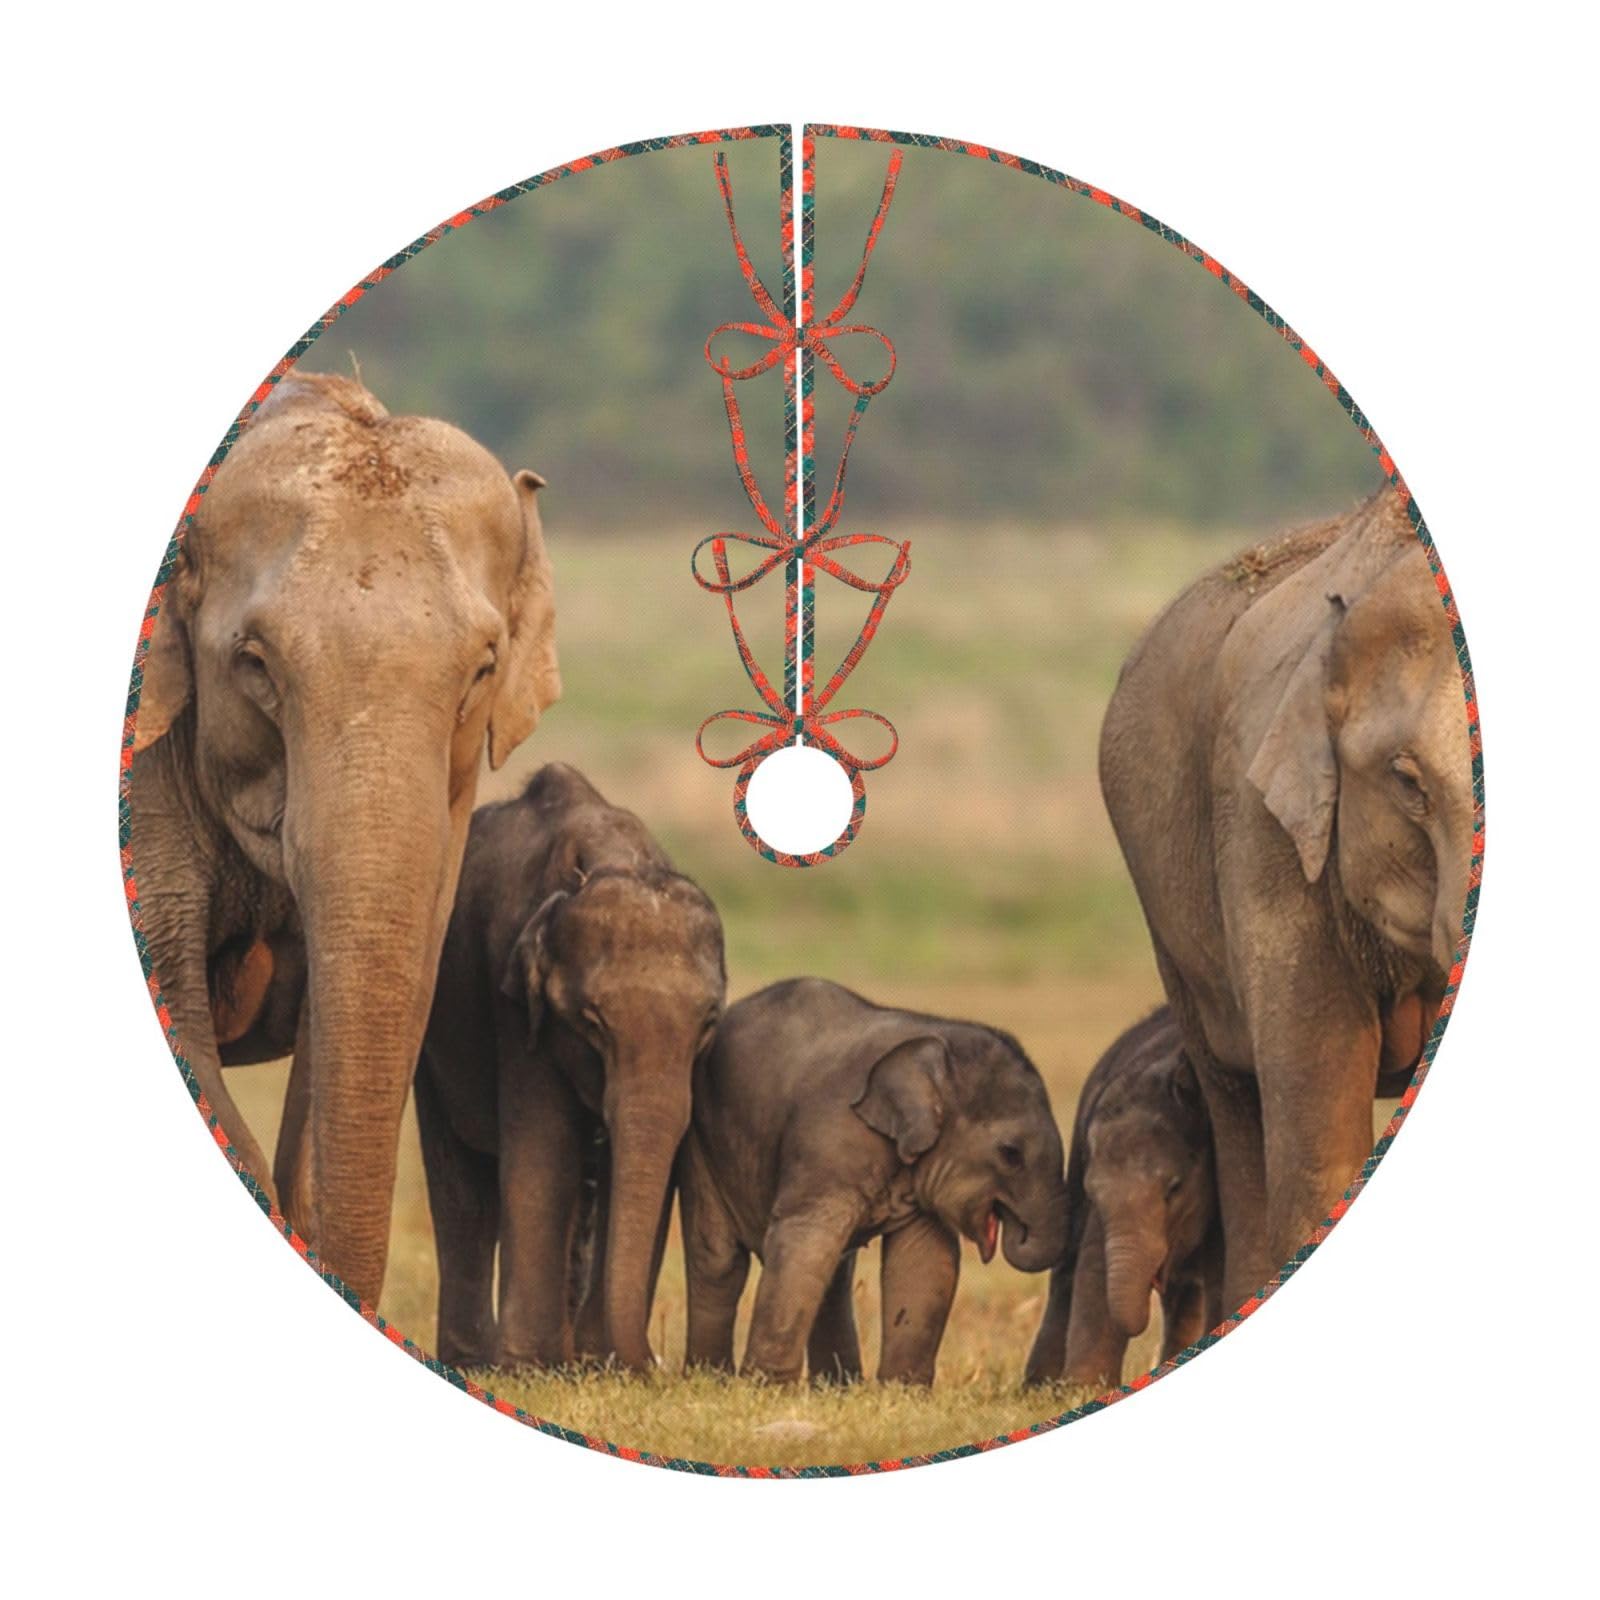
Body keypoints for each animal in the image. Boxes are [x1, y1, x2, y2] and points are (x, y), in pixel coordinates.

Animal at [415, 764, 726, 1372]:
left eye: (708, 1022)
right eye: (592, 1022)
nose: (658, 1364)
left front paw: (596, 1363)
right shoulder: (515, 1008)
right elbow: (545, 1150)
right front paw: (531, 1366)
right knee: (461, 1189)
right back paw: (474, 1362)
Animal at [678, 978, 1069, 1386]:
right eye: (1010, 1153)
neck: (936, 1042)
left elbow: (925, 1258)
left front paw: (904, 1390)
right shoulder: (830, 1138)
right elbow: (804, 1239)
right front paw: (766, 1387)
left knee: (832, 1273)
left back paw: (836, 1387)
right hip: (702, 1143)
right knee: (720, 1259)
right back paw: (710, 1380)